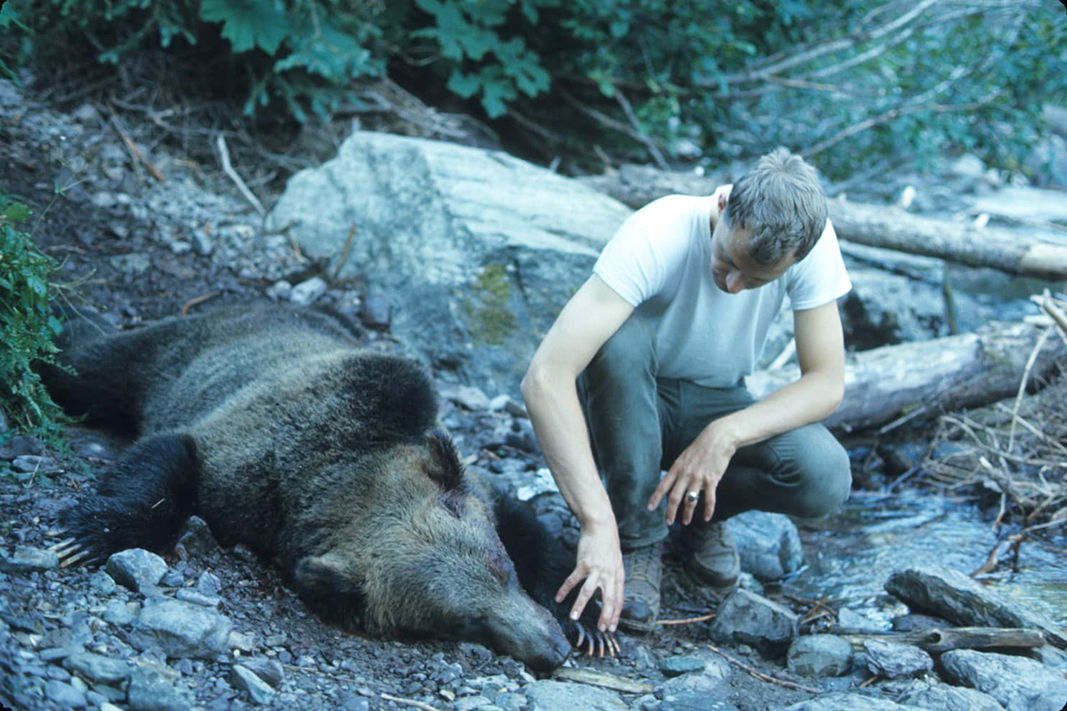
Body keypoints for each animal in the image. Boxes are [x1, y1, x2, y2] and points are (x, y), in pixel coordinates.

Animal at [41, 301, 614, 666]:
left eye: (503, 569)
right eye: (462, 622)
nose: (551, 650)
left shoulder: (461, 472)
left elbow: (529, 528)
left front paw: (585, 616)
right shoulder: (242, 465)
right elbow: (171, 463)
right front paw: (88, 535)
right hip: (170, 355)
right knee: (85, 367)